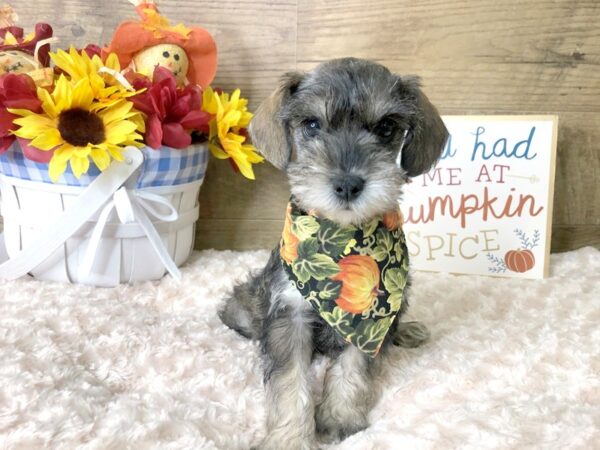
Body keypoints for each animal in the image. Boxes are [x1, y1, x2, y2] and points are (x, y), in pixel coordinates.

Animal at [218, 58, 448, 448]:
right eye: (312, 124)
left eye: (386, 127)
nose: (348, 184)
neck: (341, 239)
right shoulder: (289, 314)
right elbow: (290, 382)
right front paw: (288, 438)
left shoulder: (369, 321)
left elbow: (353, 368)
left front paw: (340, 419)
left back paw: (407, 330)